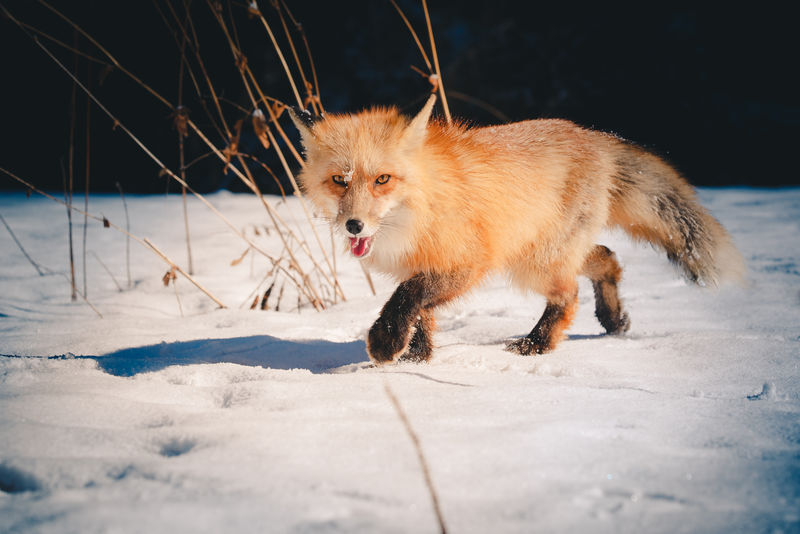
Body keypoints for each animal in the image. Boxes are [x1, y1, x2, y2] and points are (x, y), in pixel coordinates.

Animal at [290, 95, 744, 364]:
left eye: (382, 180)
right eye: (340, 181)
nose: (354, 225)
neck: (422, 205)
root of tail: (595, 136)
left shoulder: (467, 262)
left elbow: (409, 297)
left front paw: (386, 342)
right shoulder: (423, 263)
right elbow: (422, 313)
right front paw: (416, 356)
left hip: (534, 263)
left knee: (569, 295)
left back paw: (537, 344)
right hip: (543, 252)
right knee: (606, 258)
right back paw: (614, 319)